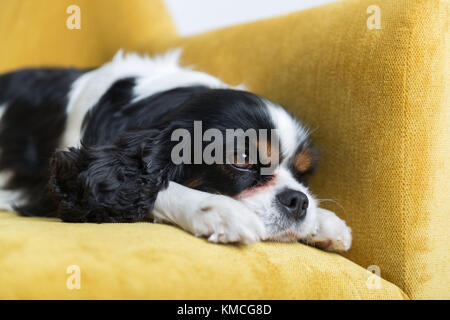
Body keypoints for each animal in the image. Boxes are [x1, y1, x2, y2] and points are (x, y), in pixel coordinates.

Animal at [0, 50, 352, 251]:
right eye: (241, 159)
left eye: (303, 173)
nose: (298, 200)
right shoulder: (64, 185)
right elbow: (149, 188)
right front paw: (217, 209)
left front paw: (324, 221)